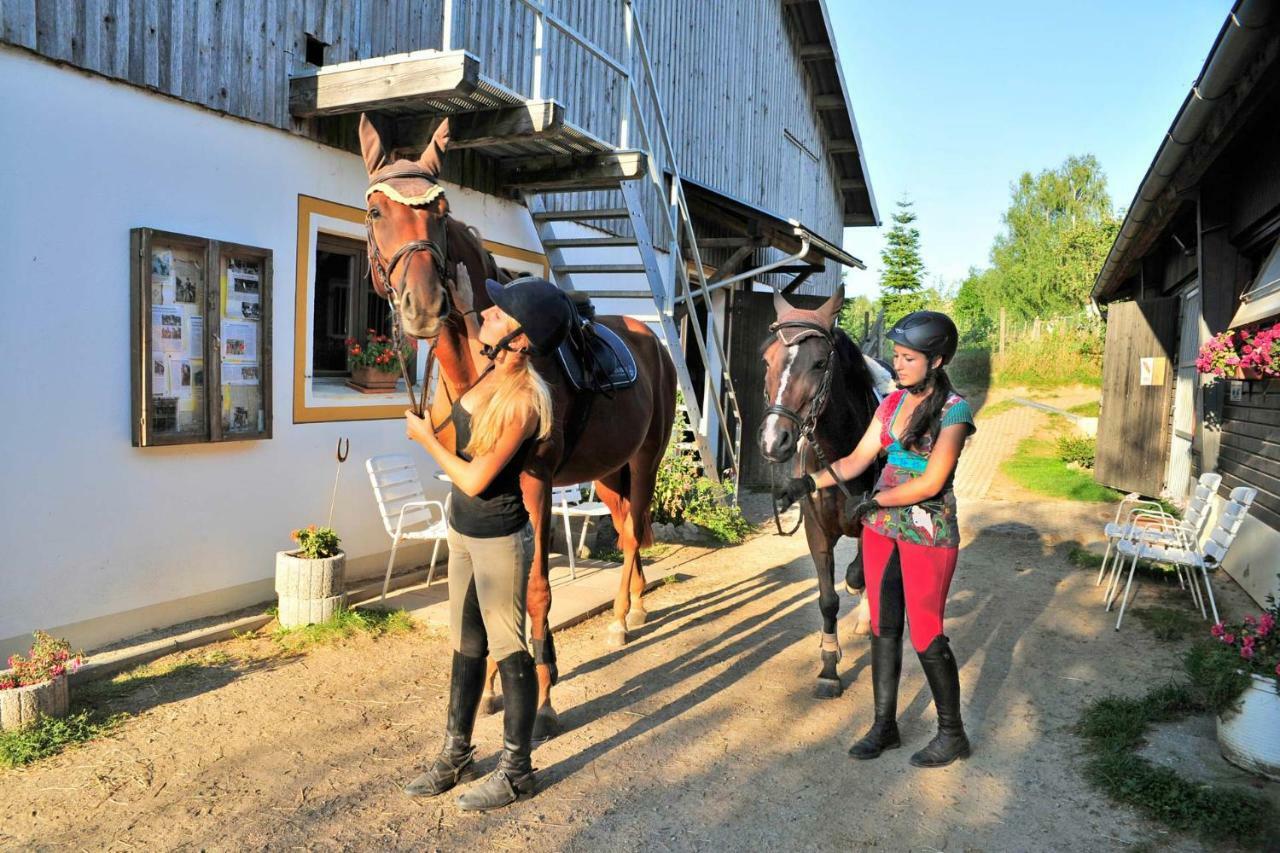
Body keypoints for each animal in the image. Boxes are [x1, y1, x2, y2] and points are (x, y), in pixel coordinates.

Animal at [358, 112, 680, 737]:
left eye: (440, 211)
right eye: (376, 210)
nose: (424, 306)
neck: (482, 368)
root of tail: (650, 337)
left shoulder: (532, 483)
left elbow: (533, 590)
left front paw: (545, 695)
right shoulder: (477, 484)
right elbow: (484, 596)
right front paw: (488, 689)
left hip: (645, 459)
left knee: (633, 533)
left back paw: (622, 617)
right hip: (606, 469)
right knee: (625, 524)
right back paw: (635, 605)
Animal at [752, 289, 885, 696]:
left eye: (820, 362)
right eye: (767, 360)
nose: (773, 440)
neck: (842, 451)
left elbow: (859, 573)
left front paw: (858, 593)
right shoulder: (816, 531)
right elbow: (828, 600)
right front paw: (829, 666)